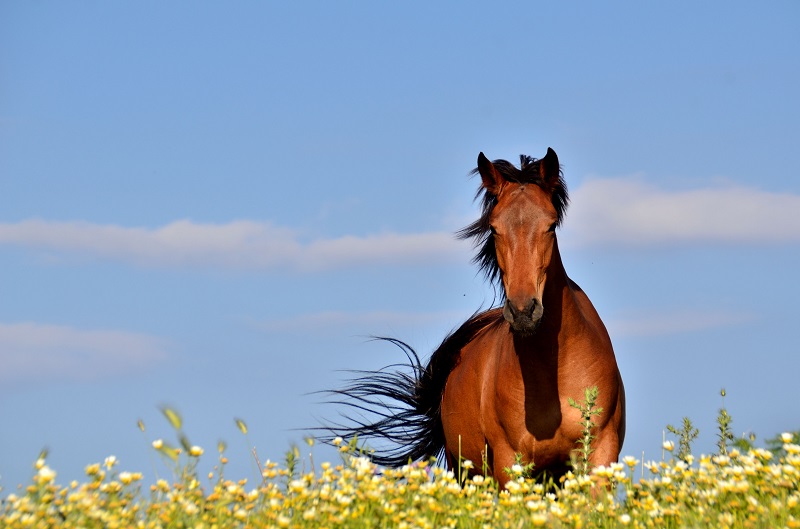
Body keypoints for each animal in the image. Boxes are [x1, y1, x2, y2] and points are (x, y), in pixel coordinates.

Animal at [324, 147, 624, 486]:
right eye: (494, 228)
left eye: (550, 226)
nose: (523, 311)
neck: (554, 373)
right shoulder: (510, 461)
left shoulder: (600, 454)